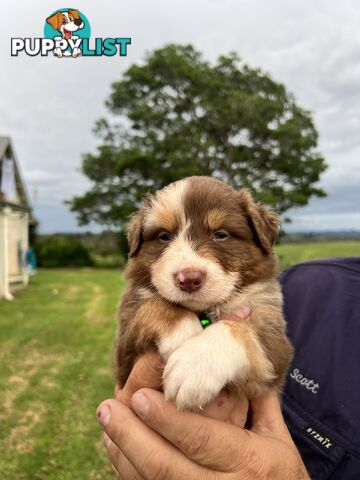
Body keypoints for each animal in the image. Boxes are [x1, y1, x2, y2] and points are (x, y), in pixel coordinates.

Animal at [115, 178, 292, 410]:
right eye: (164, 236)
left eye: (221, 235)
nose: (189, 279)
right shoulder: (123, 353)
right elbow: (153, 304)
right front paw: (183, 331)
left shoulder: (276, 339)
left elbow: (236, 328)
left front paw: (194, 365)